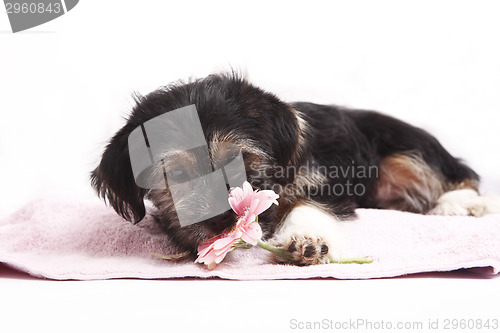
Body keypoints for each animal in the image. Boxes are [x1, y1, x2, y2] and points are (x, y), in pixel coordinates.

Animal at [92, 72, 498, 264]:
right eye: (175, 175)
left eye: (239, 163)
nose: (222, 221)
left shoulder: (325, 183)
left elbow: (308, 205)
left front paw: (306, 240)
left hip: (408, 150)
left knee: (457, 175)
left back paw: (463, 204)